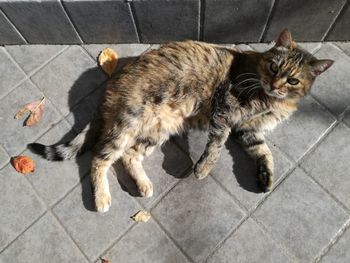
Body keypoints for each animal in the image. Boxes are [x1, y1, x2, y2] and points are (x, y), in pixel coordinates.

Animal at [28, 28, 334, 213]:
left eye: (292, 80)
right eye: (273, 67)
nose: (274, 84)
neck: (271, 101)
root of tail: (111, 84)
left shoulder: (248, 130)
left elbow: (264, 152)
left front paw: (266, 177)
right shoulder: (225, 108)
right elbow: (216, 145)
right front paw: (203, 169)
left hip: (156, 130)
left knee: (129, 156)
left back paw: (143, 184)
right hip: (128, 123)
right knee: (99, 159)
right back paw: (102, 198)